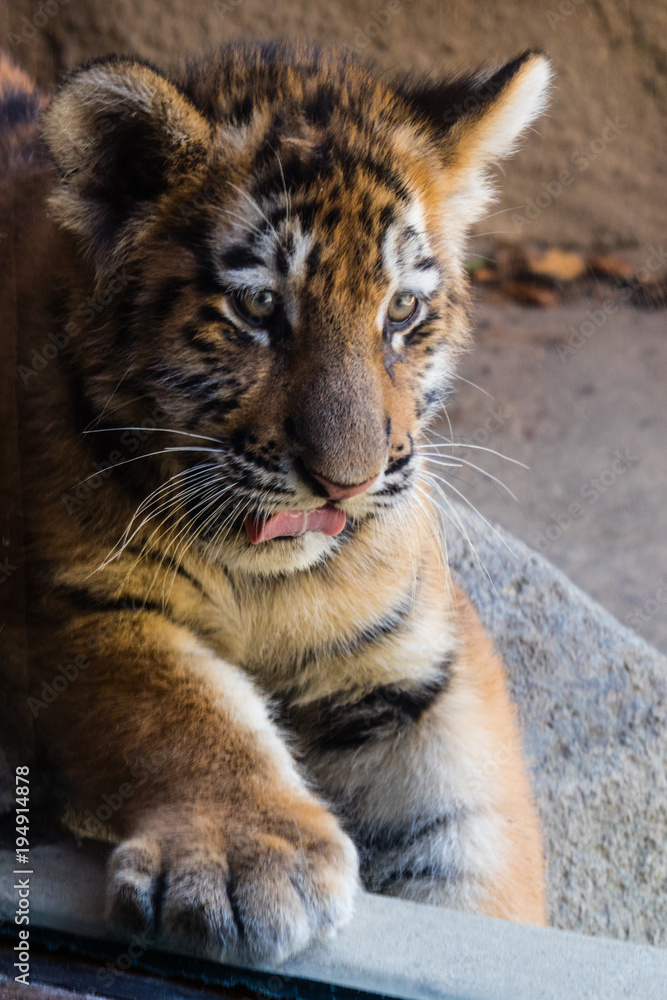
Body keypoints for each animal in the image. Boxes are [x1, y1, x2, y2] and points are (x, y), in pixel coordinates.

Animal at [1, 42, 551, 963]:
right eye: (259, 306)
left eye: (402, 309)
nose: (348, 482)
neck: (268, 573)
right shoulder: (86, 611)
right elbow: (181, 716)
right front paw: (243, 861)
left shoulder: (416, 664)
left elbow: (473, 829)